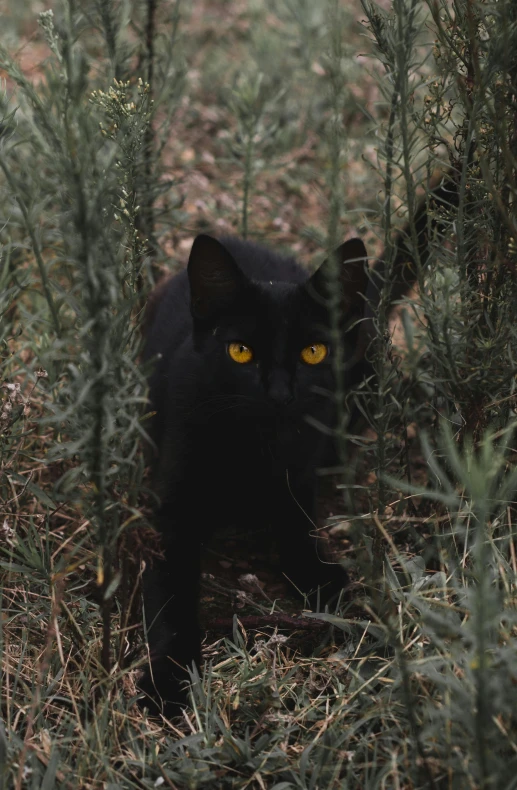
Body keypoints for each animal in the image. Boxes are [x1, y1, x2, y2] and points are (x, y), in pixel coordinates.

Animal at [138, 176, 456, 720]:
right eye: (240, 350)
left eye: (313, 351)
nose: (280, 392)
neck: (255, 448)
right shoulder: (172, 510)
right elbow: (173, 593)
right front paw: (171, 680)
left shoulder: (298, 477)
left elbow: (298, 532)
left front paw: (333, 593)